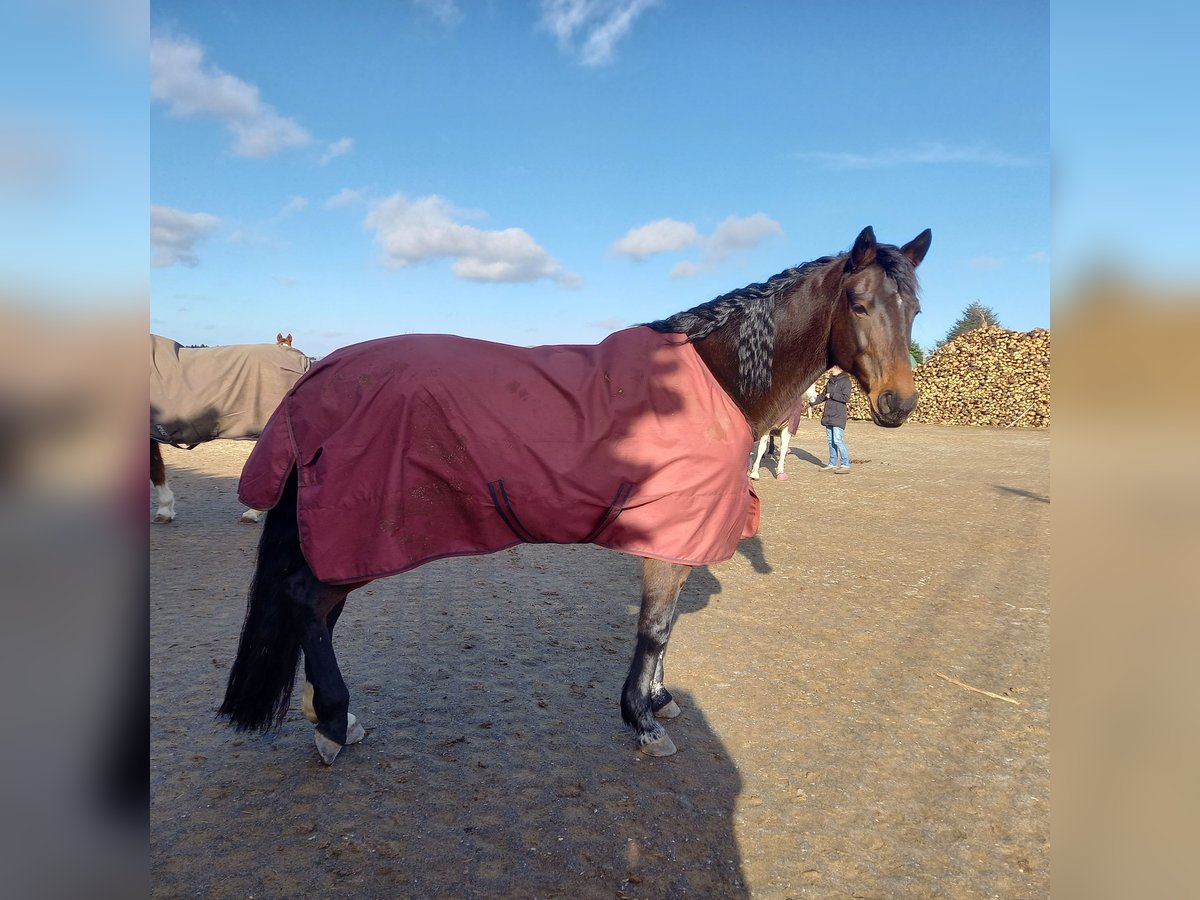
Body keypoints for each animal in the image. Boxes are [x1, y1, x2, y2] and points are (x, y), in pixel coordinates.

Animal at [216, 229, 926, 763]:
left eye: (915, 309)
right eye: (858, 303)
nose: (898, 405)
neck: (714, 380)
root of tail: (317, 379)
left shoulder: (680, 539)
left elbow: (666, 630)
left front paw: (659, 700)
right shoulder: (669, 539)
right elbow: (654, 629)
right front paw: (642, 720)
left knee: (319, 607)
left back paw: (326, 714)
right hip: (359, 533)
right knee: (308, 600)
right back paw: (335, 722)